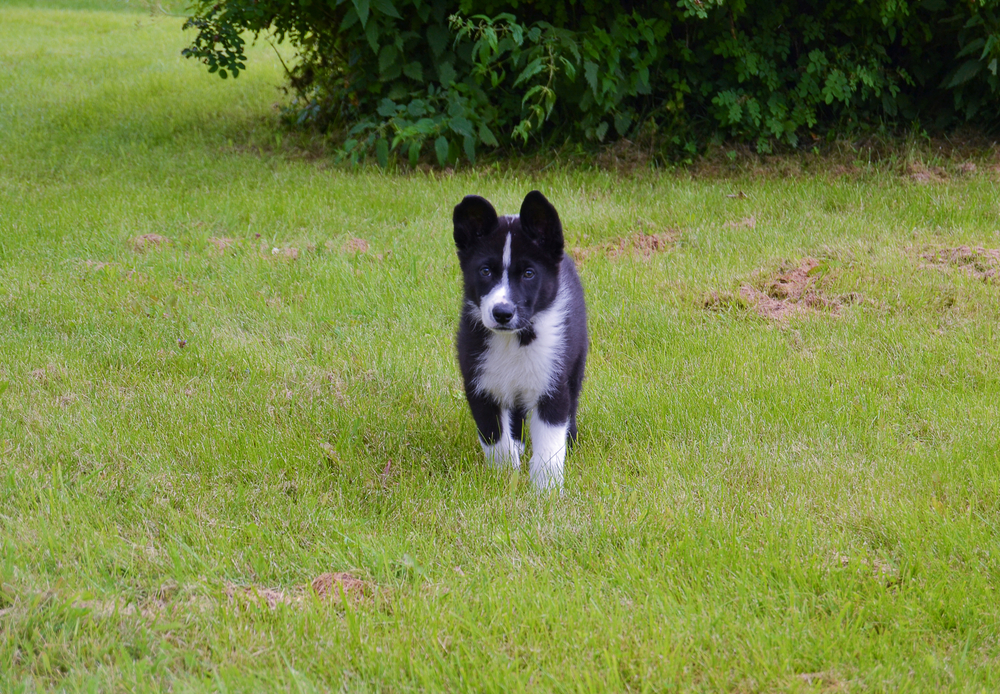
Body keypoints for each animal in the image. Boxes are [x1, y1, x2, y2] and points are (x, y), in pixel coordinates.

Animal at [454, 190, 584, 492]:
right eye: (485, 271)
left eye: (528, 273)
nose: (502, 313)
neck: (513, 340)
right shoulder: (480, 386)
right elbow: (495, 438)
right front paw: (503, 479)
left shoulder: (552, 386)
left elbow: (549, 445)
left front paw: (545, 491)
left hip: (576, 363)